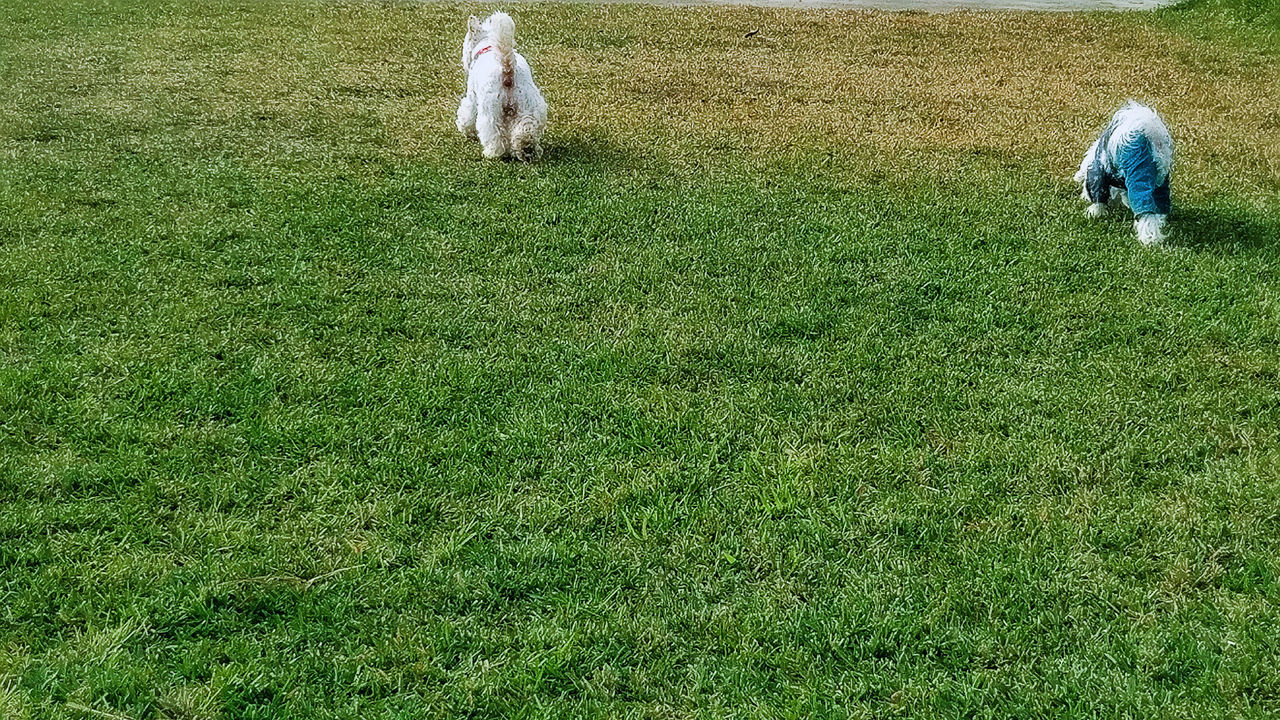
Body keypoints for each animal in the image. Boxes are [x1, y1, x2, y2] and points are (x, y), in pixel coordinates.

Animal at [455, 12, 545, 159]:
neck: (487, 47)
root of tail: (508, 68)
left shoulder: (472, 97)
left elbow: (467, 114)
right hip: (528, 106)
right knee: (526, 129)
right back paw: (527, 149)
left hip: (491, 110)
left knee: (494, 134)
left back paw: (492, 153)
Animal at [1075, 99, 1172, 245]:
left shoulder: (1097, 176)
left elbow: (1098, 199)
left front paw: (1094, 213)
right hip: (1160, 182)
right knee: (1159, 208)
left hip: (1140, 182)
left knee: (1147, 215)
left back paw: (1149, 240)